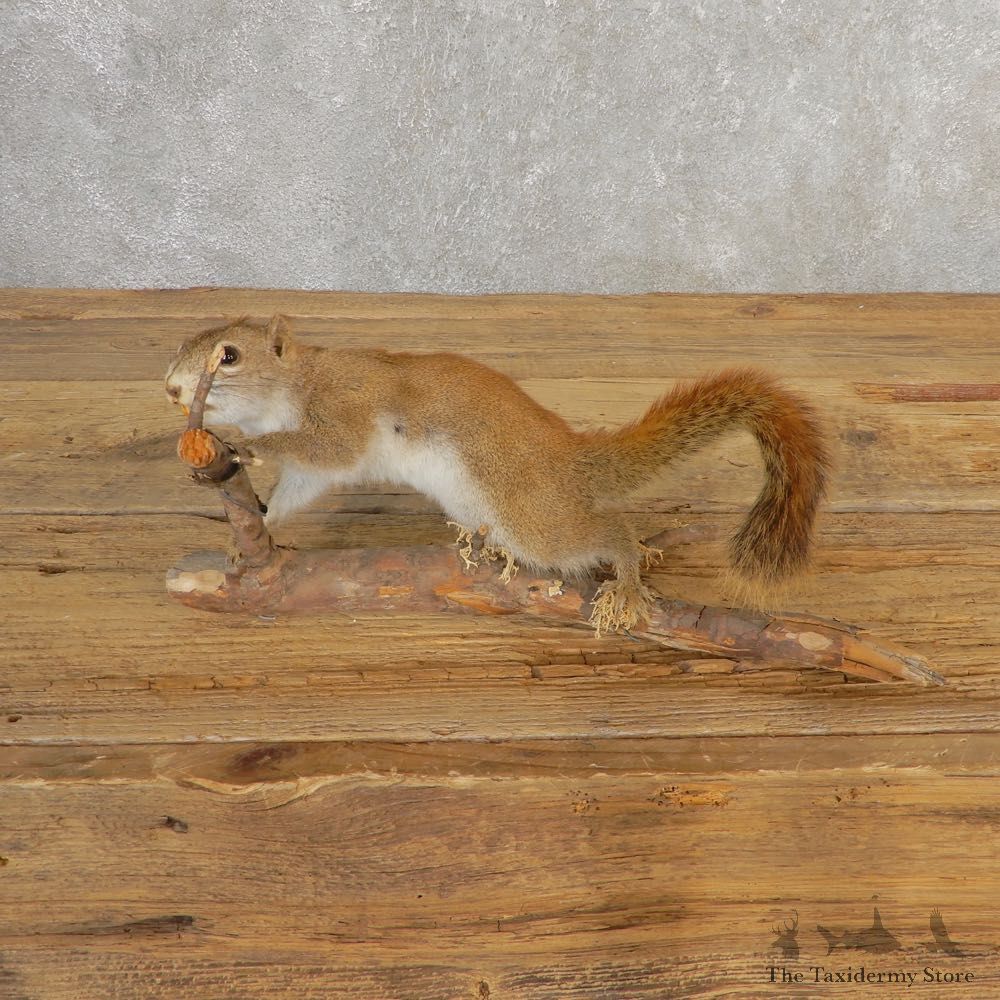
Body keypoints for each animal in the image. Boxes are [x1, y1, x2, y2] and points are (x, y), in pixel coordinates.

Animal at [165, 315, 829, 634]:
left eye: (229, 357)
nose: (172, 388)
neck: (298, 382)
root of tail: (573, 462)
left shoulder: (345, 413)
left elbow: (327, 448)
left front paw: (246, 444)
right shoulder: (313, 471)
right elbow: (298, 489)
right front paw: (254, 529)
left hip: (536, 518)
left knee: (605, 533)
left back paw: (628, 574)